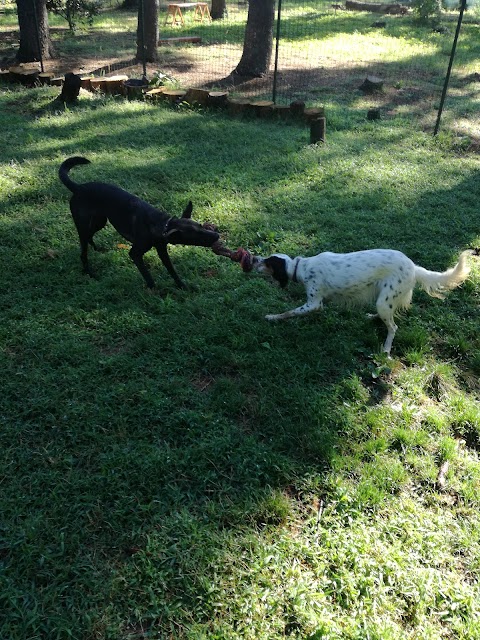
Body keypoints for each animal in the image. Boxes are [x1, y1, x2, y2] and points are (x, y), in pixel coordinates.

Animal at [57, 156, 219, 288]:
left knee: (90, 236)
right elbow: (147, 276)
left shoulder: (162, 250)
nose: (217, 236)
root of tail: (78, 187)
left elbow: (172, 270)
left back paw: (97, 249)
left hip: (99, 221)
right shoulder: (135, 253)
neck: (162, 224)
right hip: (83, 224)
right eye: (196, 237)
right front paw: (154, 291)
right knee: (83, 251)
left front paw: (182, 286)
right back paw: (89, 272)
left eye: (201, 226)